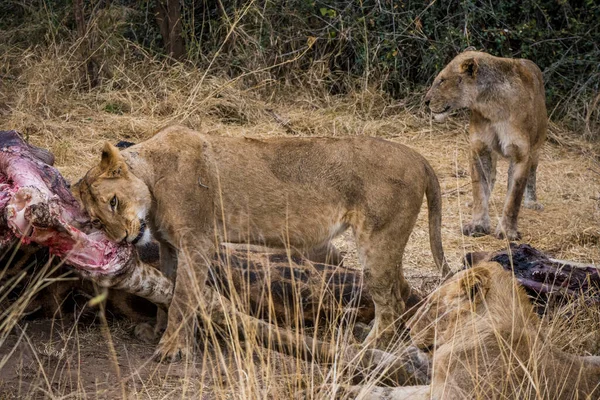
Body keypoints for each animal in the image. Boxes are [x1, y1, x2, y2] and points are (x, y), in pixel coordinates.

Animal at [76, 126, 450, 362]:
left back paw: (363, 350)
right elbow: (165, 294)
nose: (124, 238)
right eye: (96, 221)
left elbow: (182, 298)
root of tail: (419, 157)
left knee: (391, 304)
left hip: (378, 240)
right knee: (399, 294)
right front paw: (157, 331)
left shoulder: (197, 242)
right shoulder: (170, 246)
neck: (153, 176)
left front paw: (172, 349)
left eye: (113, 202)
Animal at [424, 48, 548, 239]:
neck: (491, 106)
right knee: (492, 177)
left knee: (532, 174)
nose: (426, 101)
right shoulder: (480, 148)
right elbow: (480, 190)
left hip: (536, 148)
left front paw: (507, 231)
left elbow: (514, 196)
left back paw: (532, 202)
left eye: (442, 81)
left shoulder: (521, 154)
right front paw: (478, 225)